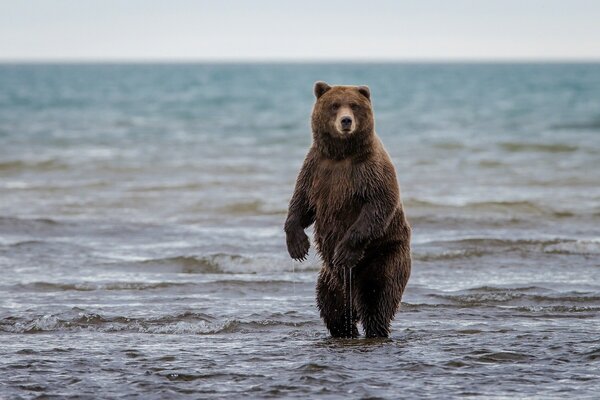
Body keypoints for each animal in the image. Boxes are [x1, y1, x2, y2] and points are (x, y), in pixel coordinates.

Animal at [284, 81, 410, 338]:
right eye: (334, 105)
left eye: (353, 105)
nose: (346, 121)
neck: (341, 155)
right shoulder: (315, 169)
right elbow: (301, 204)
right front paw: (298, 246)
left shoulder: (371, 171)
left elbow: (378, 206)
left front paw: (344, 251)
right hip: (330, 280)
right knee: (332, 307)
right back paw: (345, 329)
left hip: (385, 255)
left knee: (377, 298)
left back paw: (375, 328)